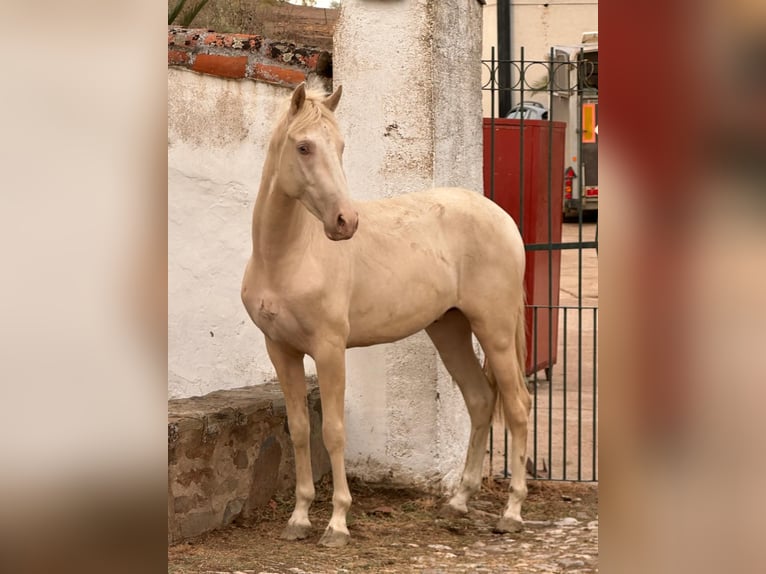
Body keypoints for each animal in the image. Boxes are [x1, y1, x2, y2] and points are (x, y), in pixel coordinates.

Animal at [241, 83, 531, 547]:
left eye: (341, 147)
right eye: (303, 147)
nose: (345, 221)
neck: (287, 257)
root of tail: (501, 216)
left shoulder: (329, 349)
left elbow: (333, 431)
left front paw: (337, 523)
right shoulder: (280, 350)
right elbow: (300, 429)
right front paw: (299, 518)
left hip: (496, 330)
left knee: (518, 406)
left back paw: (512, 513)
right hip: (449, 329)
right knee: (480, 400)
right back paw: (458, 502)